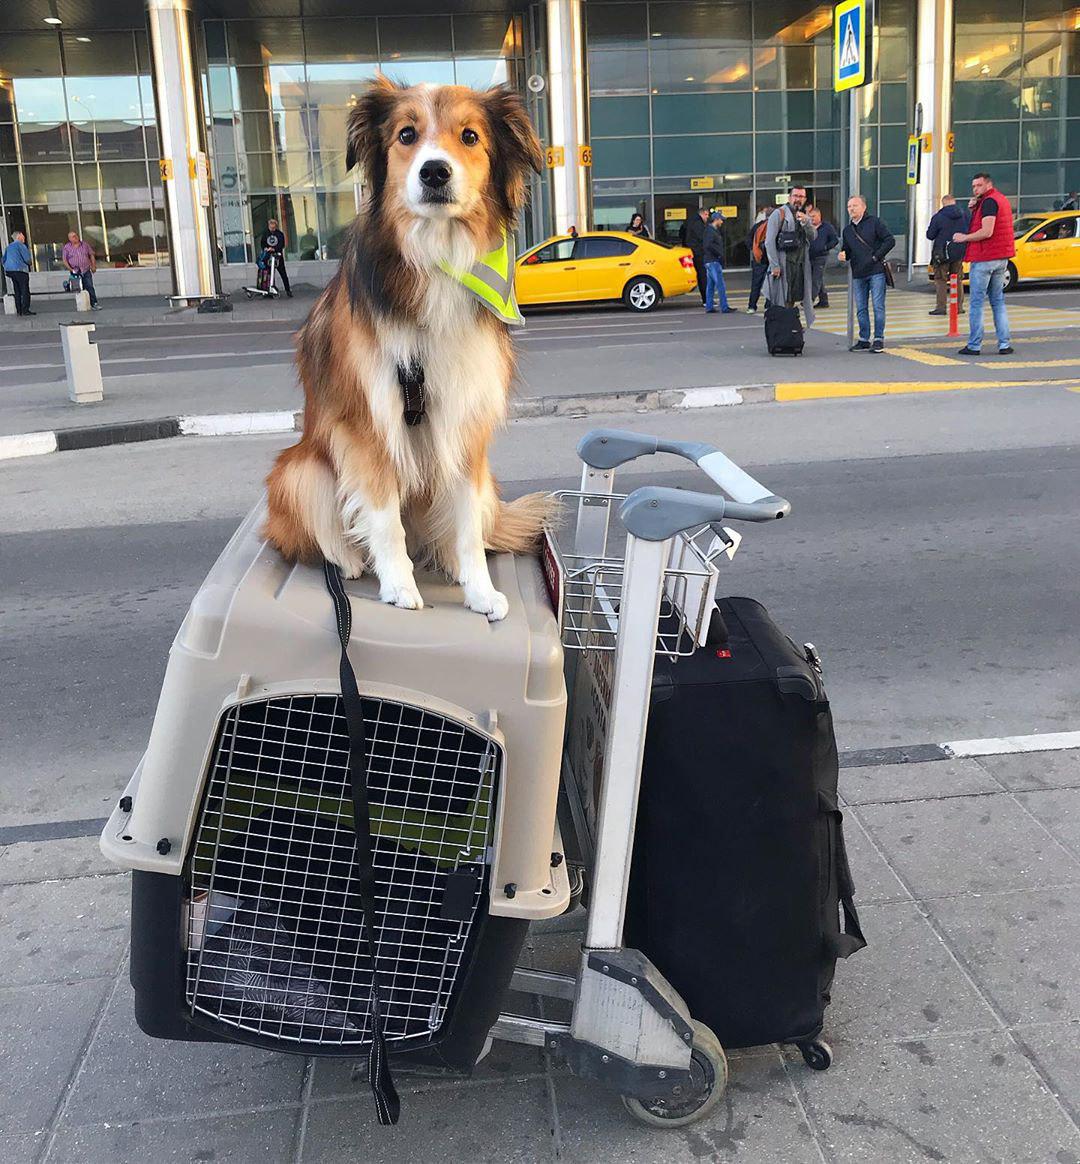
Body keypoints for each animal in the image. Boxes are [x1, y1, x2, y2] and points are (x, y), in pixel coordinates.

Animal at [263, 77, 549, 623]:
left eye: (470, 136)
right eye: (406, 134)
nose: (434, 170)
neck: (437, 256)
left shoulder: (464, 420)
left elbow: (466, 529)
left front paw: (480, 591)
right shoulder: (367, 425)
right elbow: (382, 517)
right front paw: (398, 585)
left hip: (486, 483)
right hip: (299, 470)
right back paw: (351, 560)